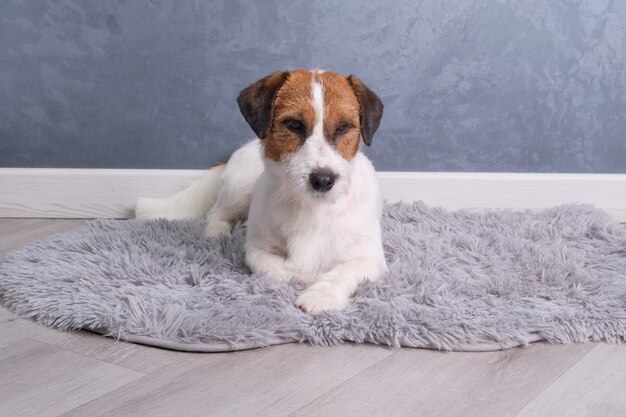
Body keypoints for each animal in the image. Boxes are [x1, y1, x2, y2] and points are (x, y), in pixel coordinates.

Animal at [136, 69, 386, 312]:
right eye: (294, 124)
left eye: (344, 127)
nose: (323, 180)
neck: (311, 206)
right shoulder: (256, 250)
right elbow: (278, 269)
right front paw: (304, 276)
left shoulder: (370, 258)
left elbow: (342, 272)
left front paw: (320, 295)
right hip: (239, 188)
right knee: (217, 211)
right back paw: (217, 232)